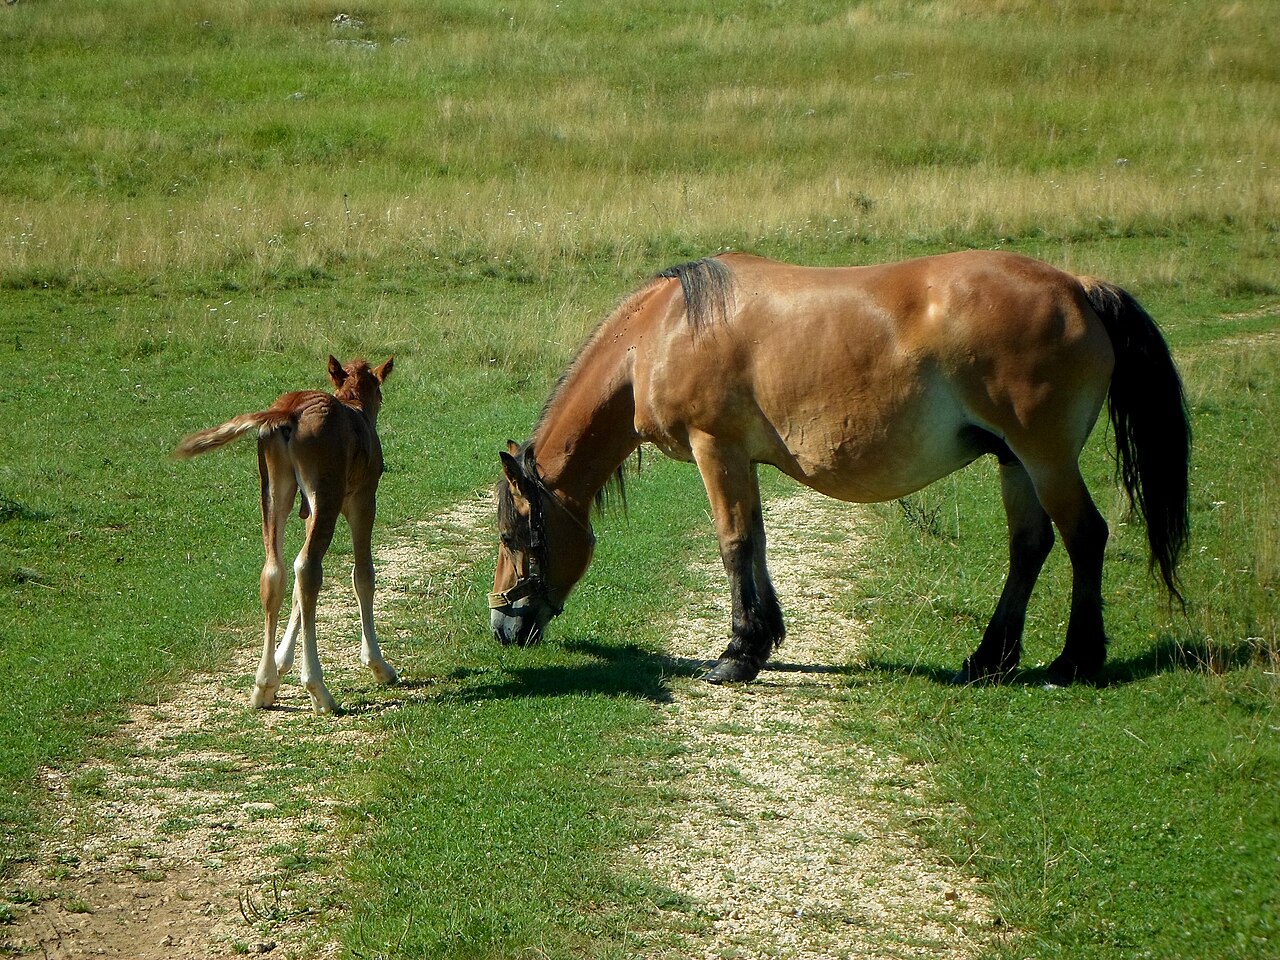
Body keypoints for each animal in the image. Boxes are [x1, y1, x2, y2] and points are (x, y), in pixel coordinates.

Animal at [175, 355, 397, 714]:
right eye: (380, 391)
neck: (356, 409)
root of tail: (287, 411)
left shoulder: (309, 510)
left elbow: (295, 588)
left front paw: (280, 663)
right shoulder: (363, 498)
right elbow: (363, 574)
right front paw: (378, 664)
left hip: (274, 490)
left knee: (276, 571)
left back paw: (263, 685)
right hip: (326, 495)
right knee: (307, 568)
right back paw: (318, 689)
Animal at [490, 250, 1190, 687]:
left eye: (513, 537)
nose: (502, 624)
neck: (662, 331)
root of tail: (1079, 289)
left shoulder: (716, 450)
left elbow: (734, 544)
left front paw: (736, 655)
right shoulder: (742, 459)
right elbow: (757, 543)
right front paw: (763, 641)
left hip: (1045, 461)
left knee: (1084, 537)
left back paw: (1076, 661)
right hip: (1015, 463)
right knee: (1030, 546)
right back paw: (990, 659)